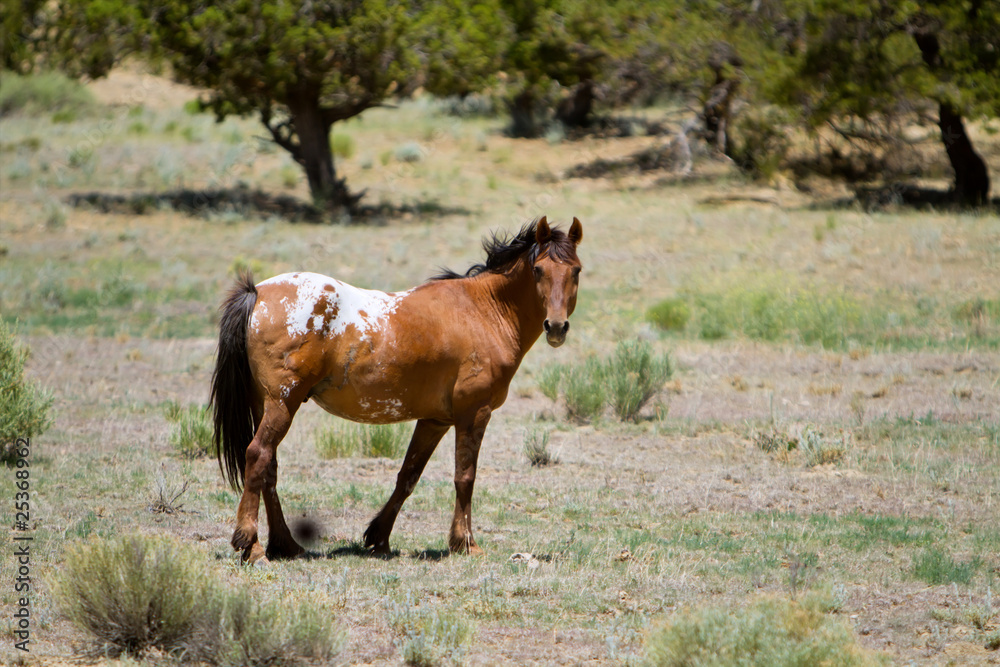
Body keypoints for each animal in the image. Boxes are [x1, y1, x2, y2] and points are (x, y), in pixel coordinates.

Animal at [210, 216, 583, 563]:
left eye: (576, 271)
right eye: (538, 269)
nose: (556, 327)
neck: (484, 311)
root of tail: (258, 292)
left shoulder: (435, 421)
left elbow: (408, 476)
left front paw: (379, 537)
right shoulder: (473, 414)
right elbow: (465, 477)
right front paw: (465, 543)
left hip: (268, 405)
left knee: (269, 467)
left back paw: (285, 544)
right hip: (282, 404)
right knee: (258, 456)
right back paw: (252, 546)